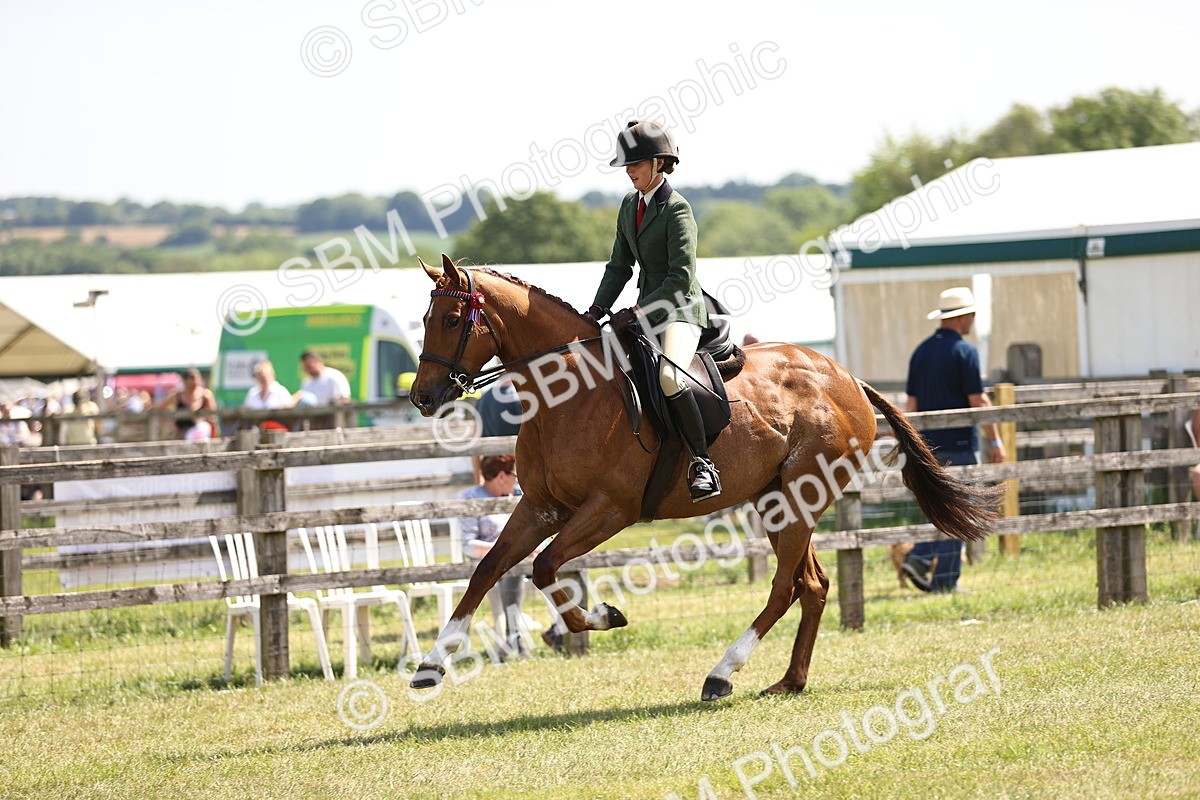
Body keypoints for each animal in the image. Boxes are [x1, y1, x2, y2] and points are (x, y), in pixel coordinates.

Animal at [408, 254, 999, 700]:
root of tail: (846, 377)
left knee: (786, 586)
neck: (569, 394)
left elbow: (546, 567)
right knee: (811, 584)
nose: (422, 397)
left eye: (453, 320)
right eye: (426, 318)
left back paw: (722, 674)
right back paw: (789, 681)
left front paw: (603, 616)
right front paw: (432, 664)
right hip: (777, 500)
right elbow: (488, 569)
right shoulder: (542, 506)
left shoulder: (610, 509)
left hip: (802, 496)